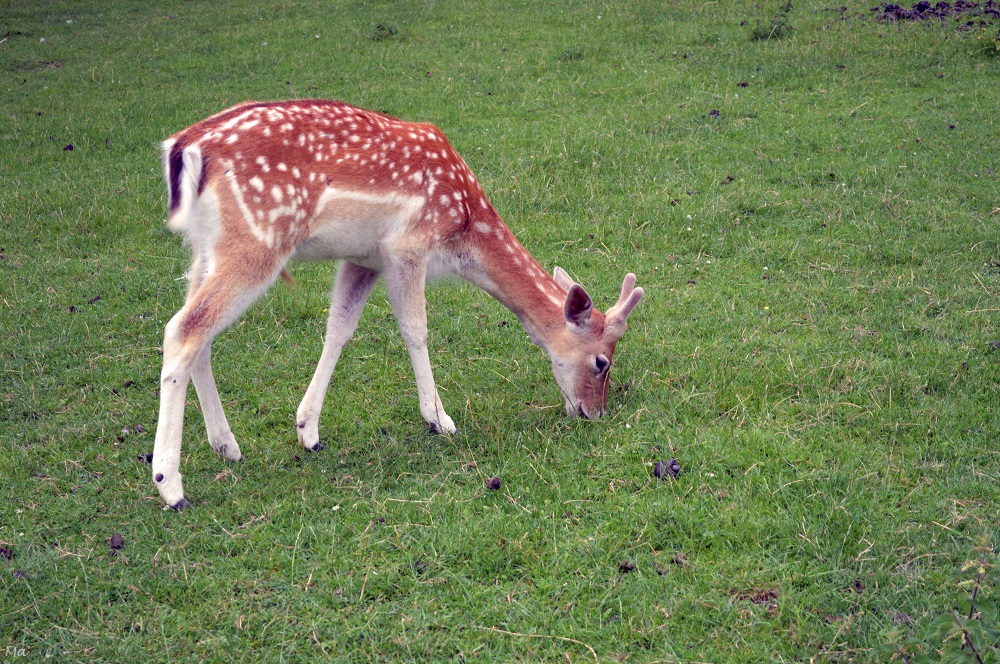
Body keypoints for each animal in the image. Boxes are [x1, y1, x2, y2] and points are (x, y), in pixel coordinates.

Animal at [153, 100, 643, 509]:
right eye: (601, 361)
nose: (594, 413)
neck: (464, 227)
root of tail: (184, 148)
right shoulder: (408, 245)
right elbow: (415, 328)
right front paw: (439, 419)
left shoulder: (362, 257)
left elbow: (339, 328)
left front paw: (308, 431)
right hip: (256, 241)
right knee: (182, 329)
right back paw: (170, 485)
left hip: (204, 250)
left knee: (201, 333)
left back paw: (226, 446)